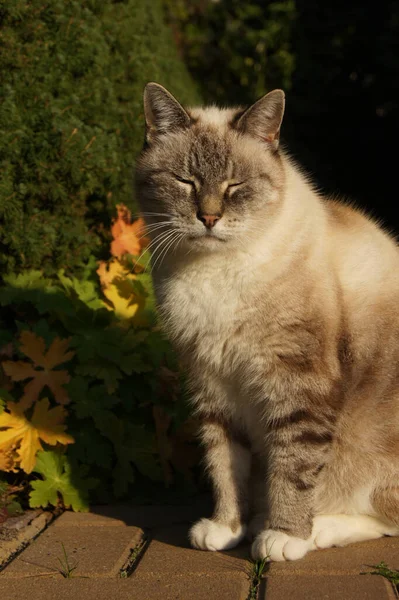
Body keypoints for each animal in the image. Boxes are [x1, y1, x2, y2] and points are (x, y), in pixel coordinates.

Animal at [135, 82, 399, 560]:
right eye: (185, 182)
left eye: (236, 186)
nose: (209, 217)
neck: (214, 273)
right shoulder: (212, 382)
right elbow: (224, 464)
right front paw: (226, 528)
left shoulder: (297, 381)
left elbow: (292, 467)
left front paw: (284, 536)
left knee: (382, 515)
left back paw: (312, 531)